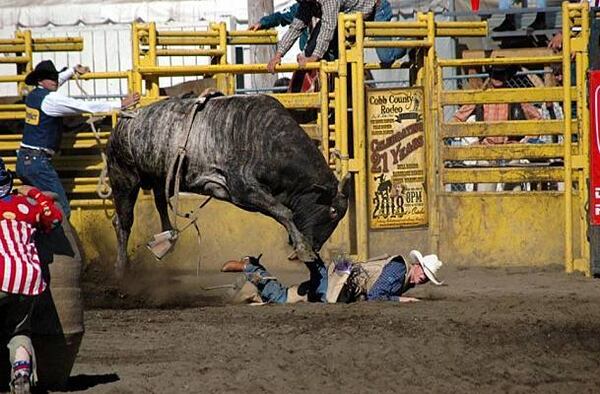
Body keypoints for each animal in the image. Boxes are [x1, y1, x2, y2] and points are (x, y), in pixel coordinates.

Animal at [107, 92, 350, 278]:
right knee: (123, 222)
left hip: (157, 176)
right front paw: (303, 249)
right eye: (332, 212)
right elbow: (284, 212)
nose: (316, 247)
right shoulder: (242, 189)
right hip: (124, 180)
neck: (269, 142)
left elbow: (282, 212)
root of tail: (122, 122)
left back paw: (166, 238)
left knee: (159, 204)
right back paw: (121, 268)